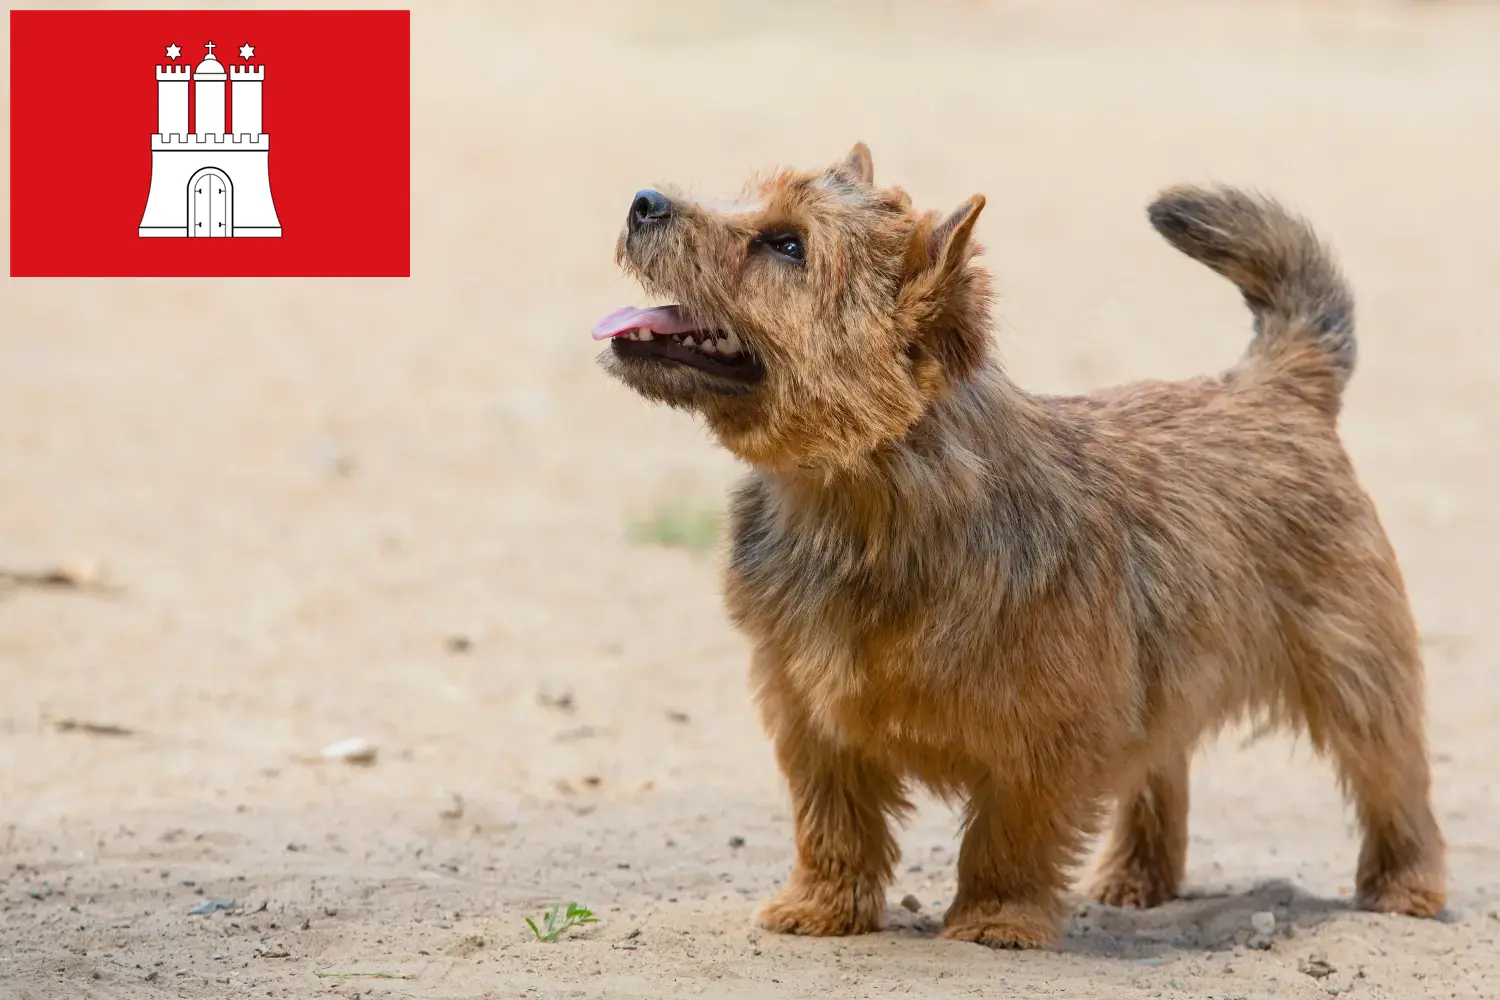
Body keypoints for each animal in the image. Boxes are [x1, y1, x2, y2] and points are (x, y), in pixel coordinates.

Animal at [591, 144, 1446, 953]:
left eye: (786, 245)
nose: (643, 201)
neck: (859, 501)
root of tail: (1277, 384)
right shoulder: (811, 715)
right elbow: (832, 822)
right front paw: (822, 907)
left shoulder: (1049, 731)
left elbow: (1010, 833)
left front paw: (995, 920)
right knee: (1161, 770)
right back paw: (1136, 878)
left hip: (1351, 670)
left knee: (1393, 778)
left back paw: (1407, 887)